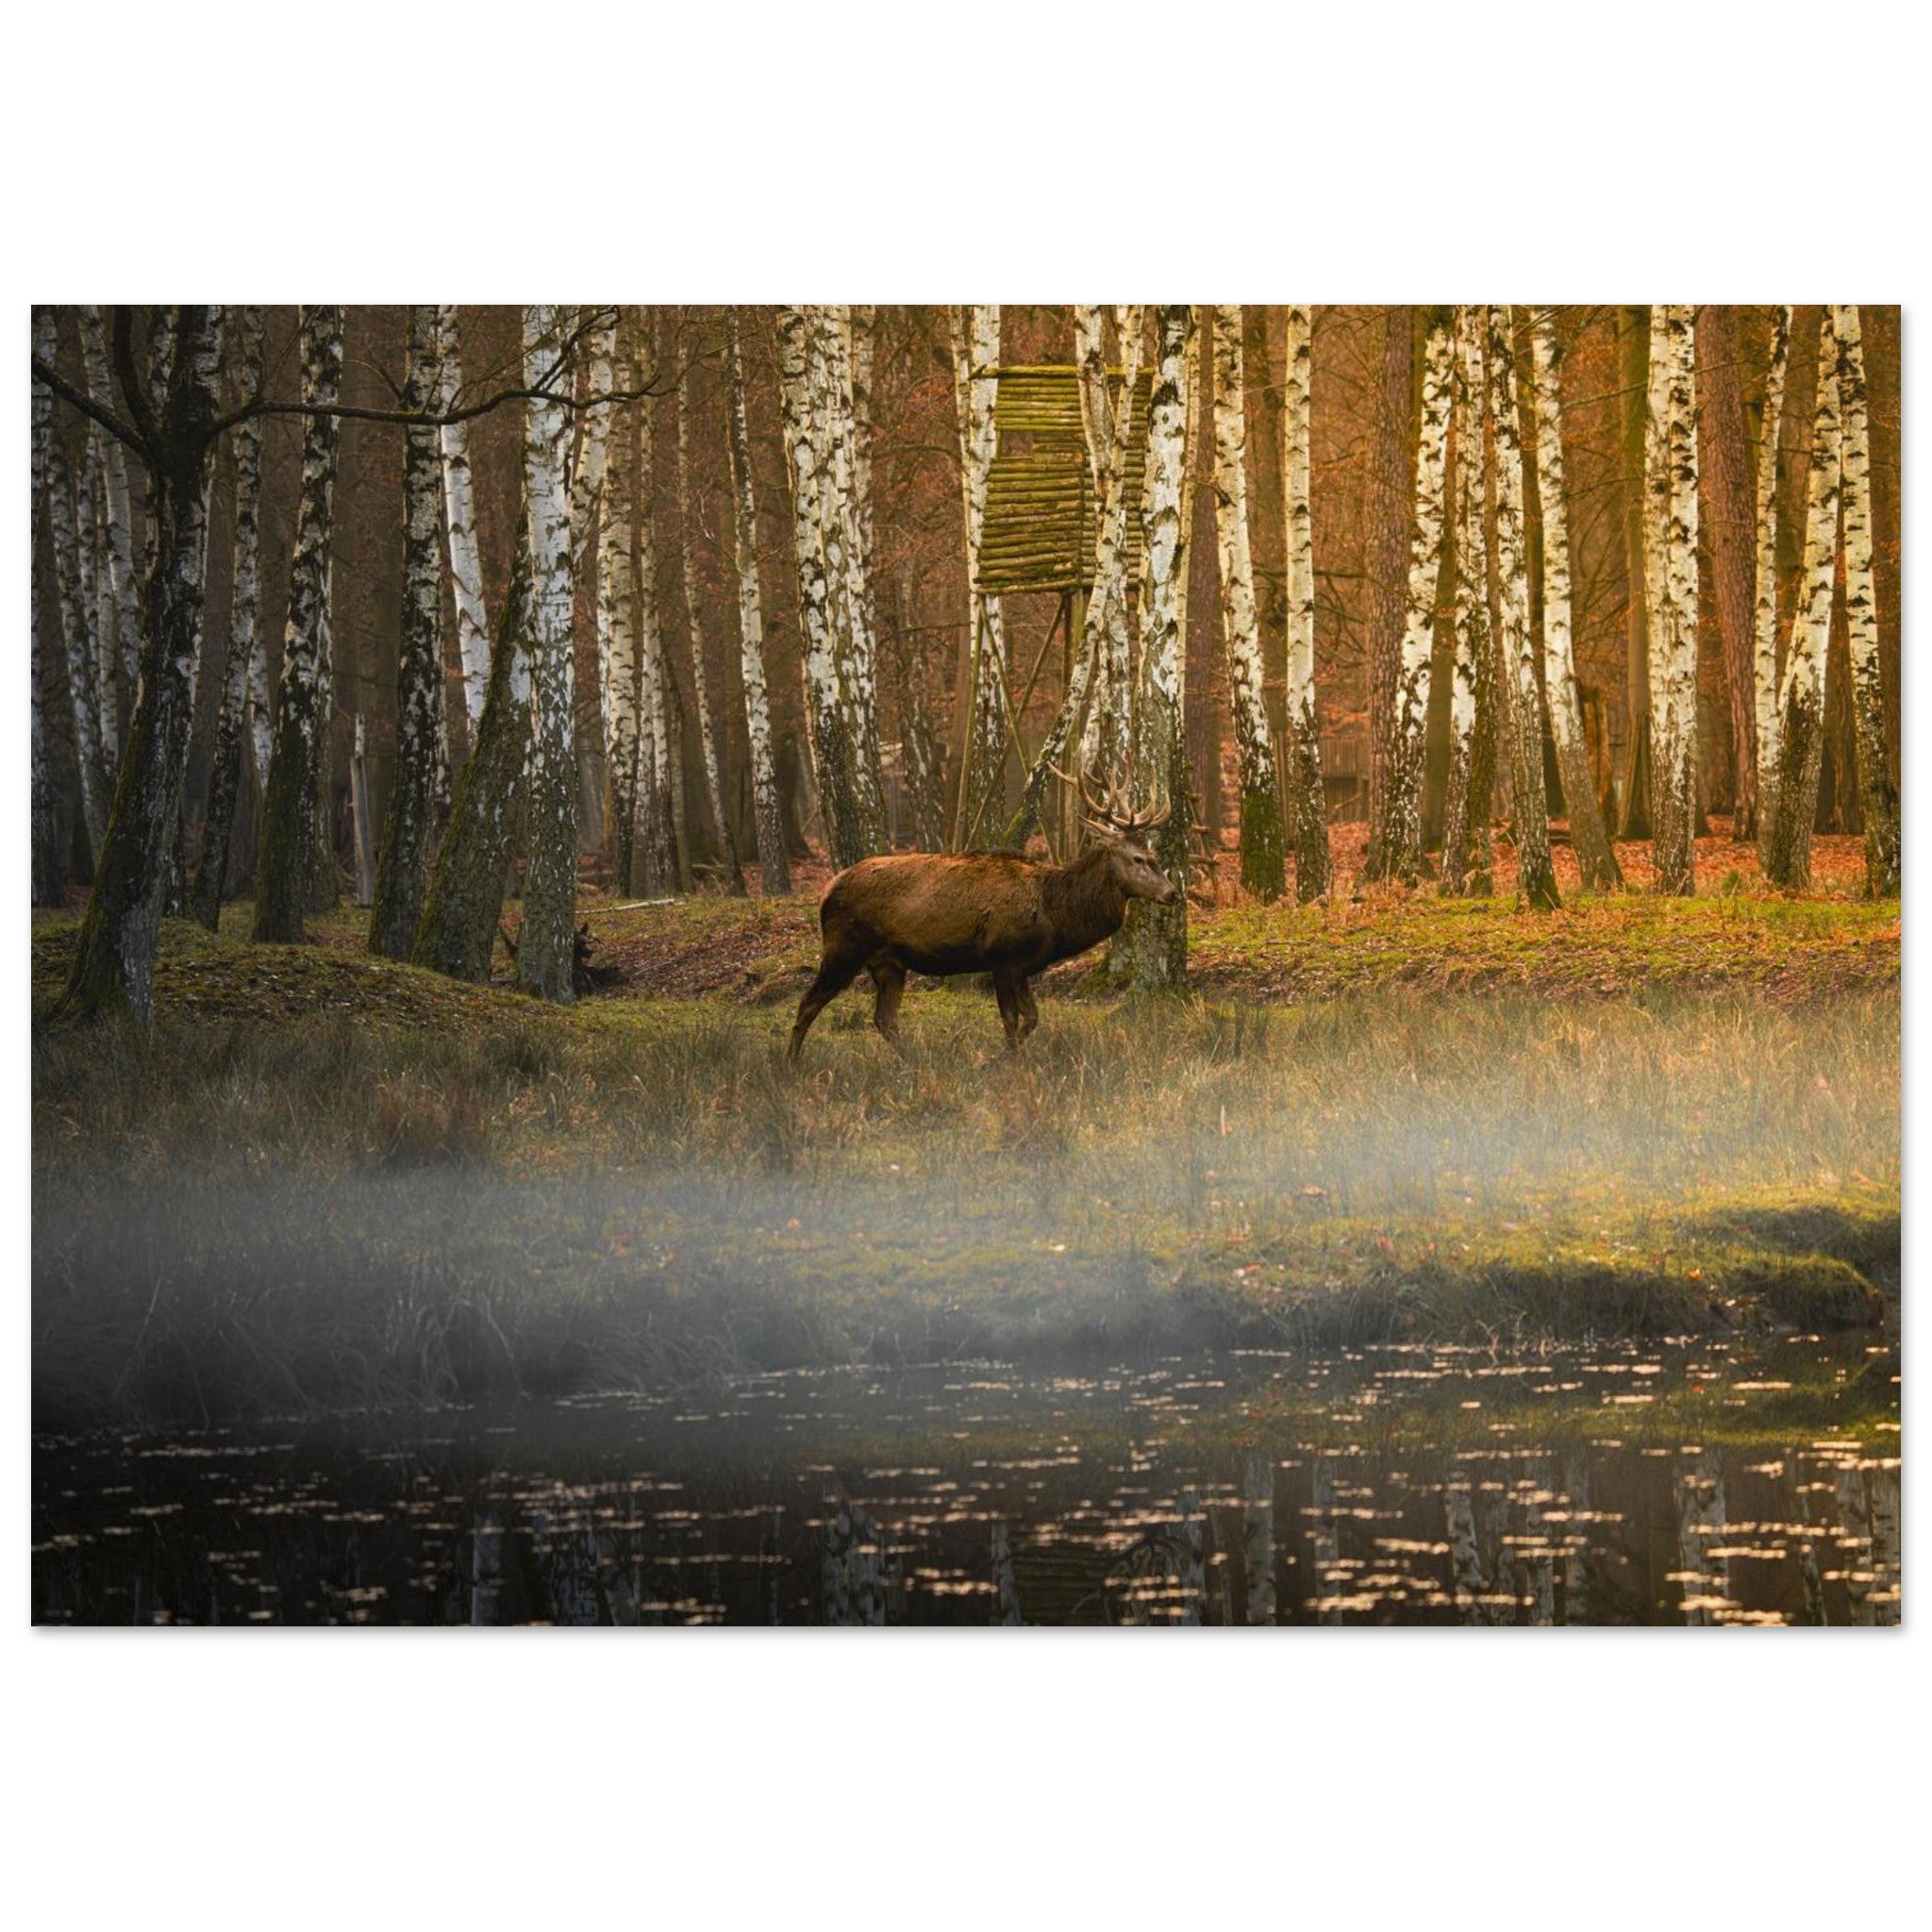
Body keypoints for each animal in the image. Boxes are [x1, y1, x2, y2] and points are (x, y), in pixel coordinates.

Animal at [788, 767, 1178, 1061]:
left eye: (1154, 854)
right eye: (1137, 858)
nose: (1172, 893)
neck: (1053, 916)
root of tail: (825, 891)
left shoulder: (1023, 966)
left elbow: (1032, 1018)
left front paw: (1005, 1057)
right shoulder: (1002, 958)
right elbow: (1011, 1020)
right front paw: (1002, 1061)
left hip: (889, 963)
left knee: (884, 1019)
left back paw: (914, 1060)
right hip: (844, 948)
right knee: (808, 1002)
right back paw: (791, 1063)